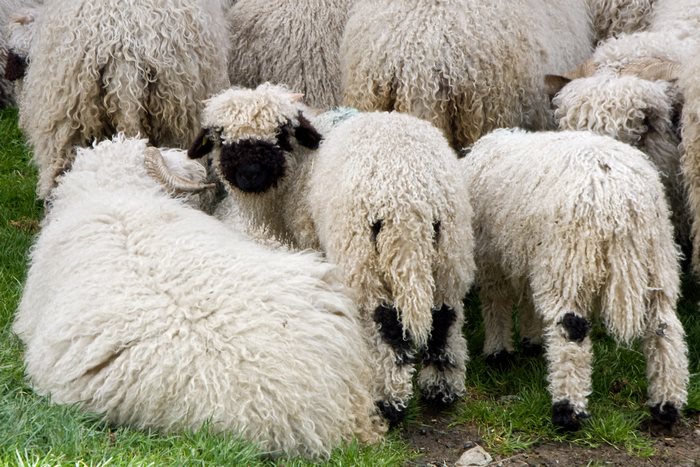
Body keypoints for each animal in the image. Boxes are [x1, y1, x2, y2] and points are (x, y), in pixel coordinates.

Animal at [184, 83, 476, 424]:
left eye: (281, 134)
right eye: (221, 137)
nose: (250, 174)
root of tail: (408, 198)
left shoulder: (310, 238)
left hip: (362, 260)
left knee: (387, 327)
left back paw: (389, 402)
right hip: (450, 254)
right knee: (445, 317)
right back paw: (442, 388)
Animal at [461, 128, 689, 431]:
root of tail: (621, 197)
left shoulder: (492, 260)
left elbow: (496, 306)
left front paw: (499, 352)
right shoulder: (531, 256)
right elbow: (528, 302)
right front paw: (531, 341)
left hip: (570, 262)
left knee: (571, 330)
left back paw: (567, 410)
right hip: (657, 260)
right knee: (663, 328)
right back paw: (667, 406)